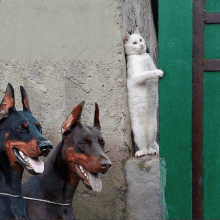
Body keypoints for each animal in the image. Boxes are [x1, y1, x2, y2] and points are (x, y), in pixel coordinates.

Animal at [124, 27, 163, 157]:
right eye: (134, 43)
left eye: (141, 40)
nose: (141, 45)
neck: (141, 56)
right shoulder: (136, 77)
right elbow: (147, 73)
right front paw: (157, 72)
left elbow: (152, 73)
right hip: (138, 132)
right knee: (142, 147)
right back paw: (140, 153)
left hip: (153, 130)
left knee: (149, 144)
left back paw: (152, 150)